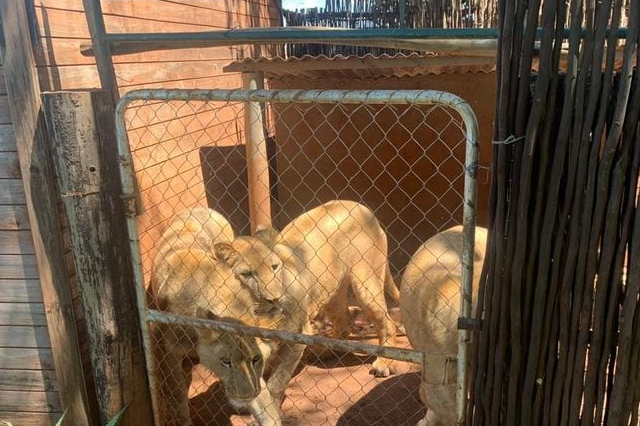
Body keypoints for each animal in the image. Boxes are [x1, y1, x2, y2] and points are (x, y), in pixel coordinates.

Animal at [151, 209, 284, 426]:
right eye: (225, 361)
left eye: (256, 359)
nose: (246, 395)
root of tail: (199, 208)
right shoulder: (168, 349)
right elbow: (177, 394)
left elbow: (266, 407)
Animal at [254, 200, 400, 400]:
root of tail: (364, 208)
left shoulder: (298, 331)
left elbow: (278, 379)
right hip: (331, 293)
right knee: (345, 323)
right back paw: (324, 351)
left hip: (365, 282)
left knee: (387, 322)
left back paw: (384, 363)